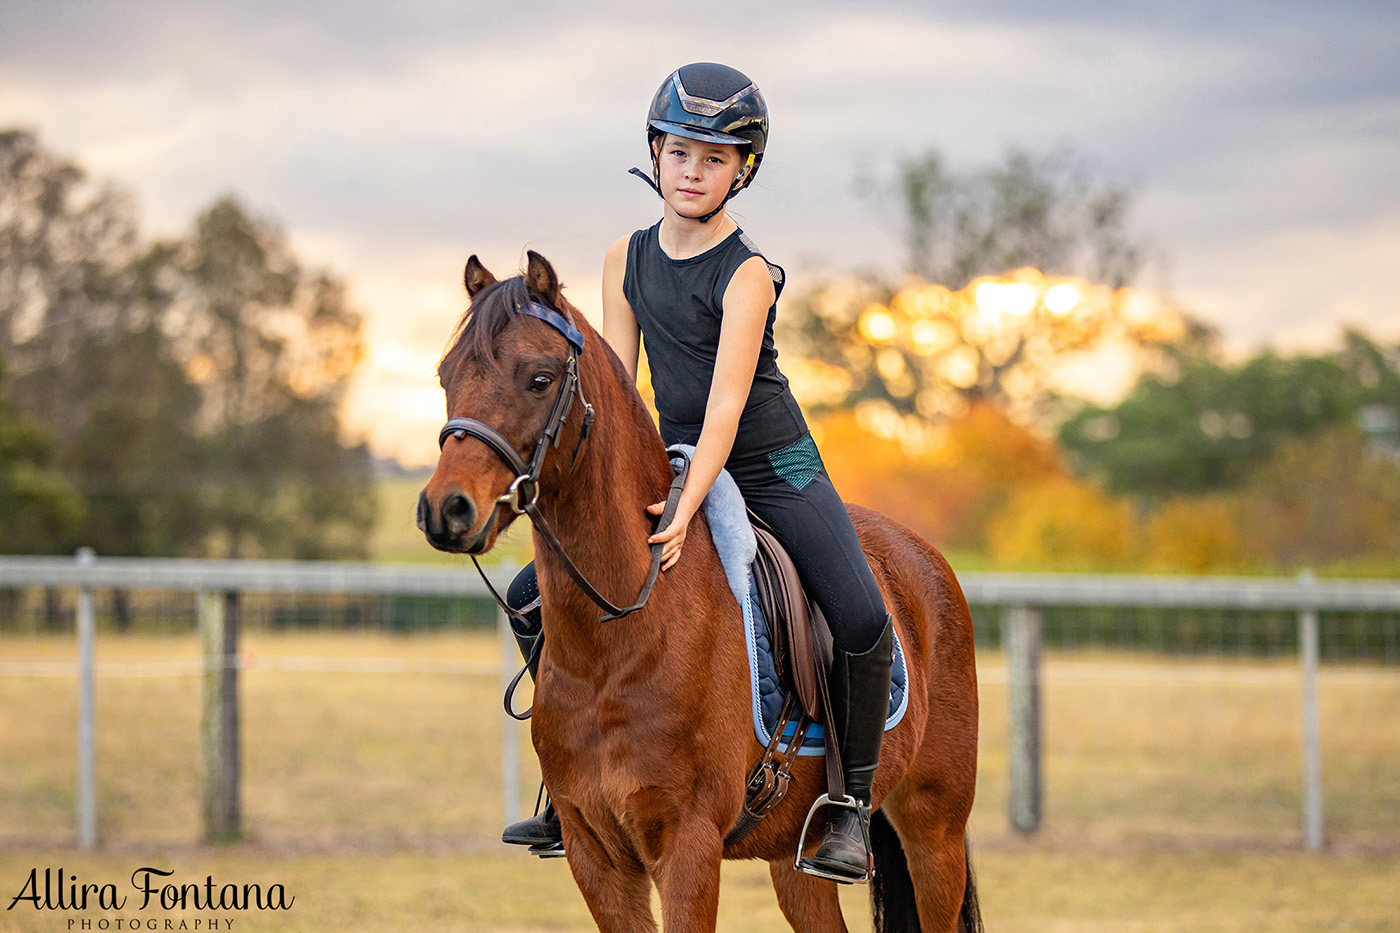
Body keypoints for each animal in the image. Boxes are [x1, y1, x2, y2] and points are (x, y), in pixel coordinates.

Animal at [420, 250, 980, 924]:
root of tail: (923, 556)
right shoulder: (595, 854)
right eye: (447, 375)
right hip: (795, 862)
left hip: (934, 831)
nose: (446, 509)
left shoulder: (687, 846)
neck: (616, 642)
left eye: (540, 378)